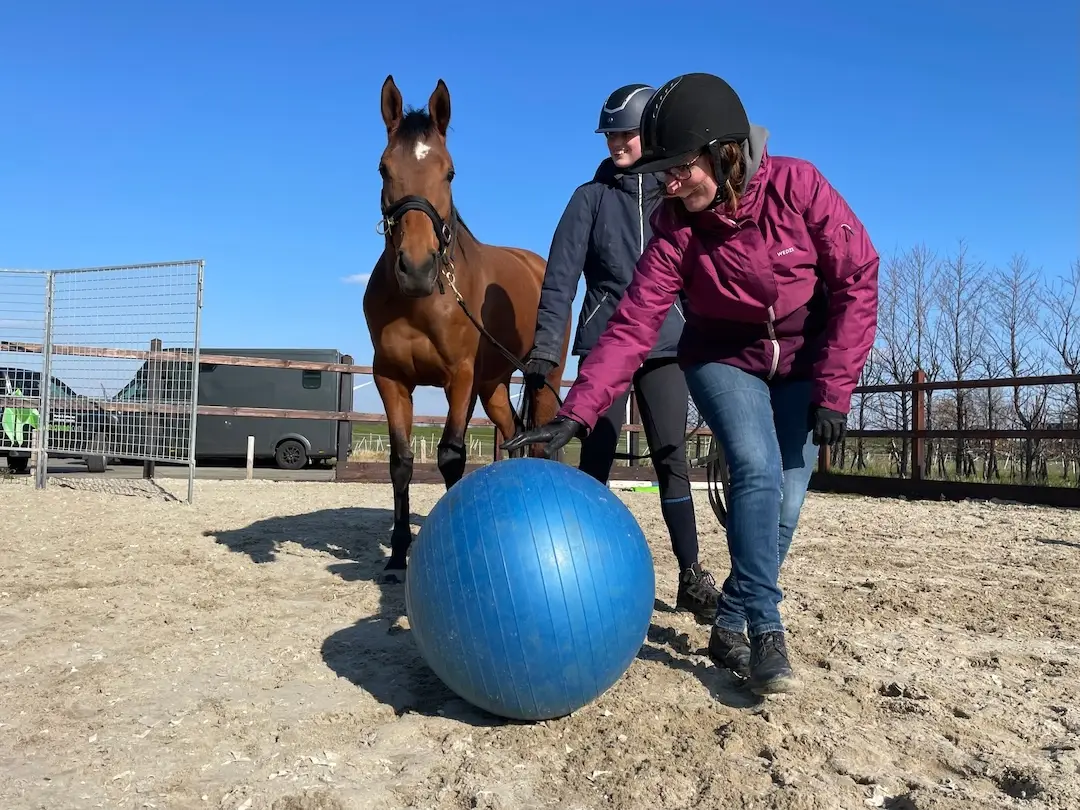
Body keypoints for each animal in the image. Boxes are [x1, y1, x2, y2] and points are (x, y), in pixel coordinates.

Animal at [362, 75, 569, 584]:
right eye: (383, 169)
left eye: (450, 173)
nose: (417, 268)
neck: (421, 302)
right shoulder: (391, 380)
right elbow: (401, 463)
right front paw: (397, 554)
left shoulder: (459, 380)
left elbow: (451, 457)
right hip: (494, 385)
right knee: (514, 433)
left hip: (541, 378)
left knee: (541, 437)